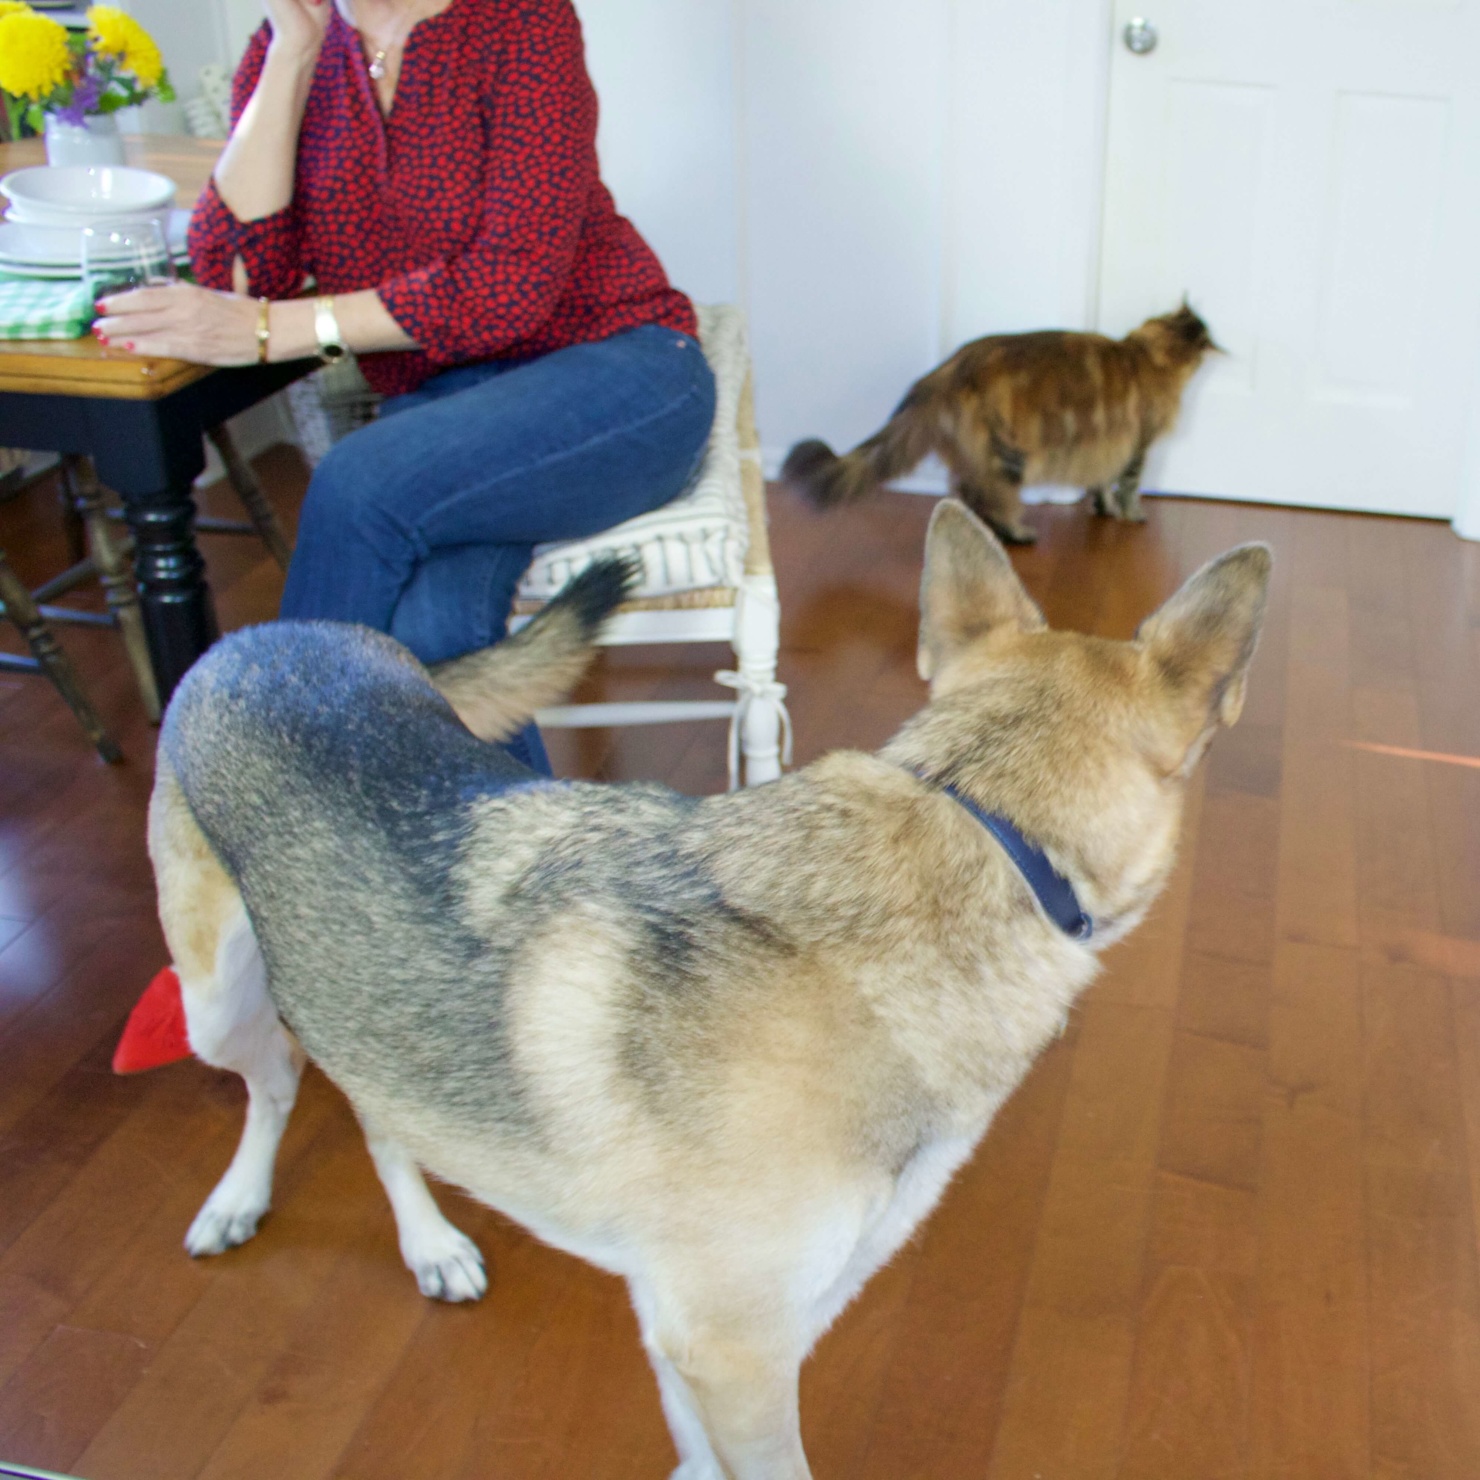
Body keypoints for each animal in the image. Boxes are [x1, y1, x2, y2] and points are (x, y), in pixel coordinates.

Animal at [150, 503, 1266, 1474]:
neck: (979, 826)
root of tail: (272, 631)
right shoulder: (735, 1349)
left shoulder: (722, 1324)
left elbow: (699, 1455)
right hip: (216, 1006)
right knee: (280, 1079)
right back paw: (241, 1200)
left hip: (371, 1002)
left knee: (376, 1107)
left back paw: (429, 1243)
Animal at [781, 301, 1219, 544]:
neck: (1144, 353)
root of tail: (950, 369)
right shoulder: (1137, 445)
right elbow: (1128, 486)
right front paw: (1130, 514)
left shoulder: (1107, 447)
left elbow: (1100, 483)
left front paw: (1103, 508)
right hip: (1008, 456)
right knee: (990, 498)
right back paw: (1016, 533)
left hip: (975, 453)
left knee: (962, 491)